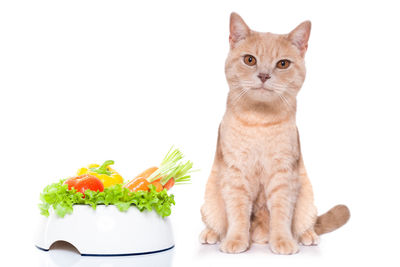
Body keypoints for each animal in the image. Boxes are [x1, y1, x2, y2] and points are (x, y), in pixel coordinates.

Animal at [200, 12, 350, 255]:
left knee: (307, 224)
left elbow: (281, 214)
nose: (264, 75)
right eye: (250, 60)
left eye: (283, 64)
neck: (260, 121)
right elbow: (238, 213)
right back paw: (211, 234)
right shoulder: (236, 174)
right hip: (209, 202)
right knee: (216, 223)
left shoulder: (283, 174)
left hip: (307, 199)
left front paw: (282, 241)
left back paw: (307, 236)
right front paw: (235, 240)